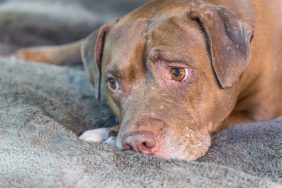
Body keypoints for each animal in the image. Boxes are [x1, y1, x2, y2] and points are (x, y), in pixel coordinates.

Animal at [13, 0, 282, 161]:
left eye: (178, 73)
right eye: (113, 83)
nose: (136, 143)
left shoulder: (257, 112)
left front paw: (107, 133)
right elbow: (79, 43)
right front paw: (29, 55)